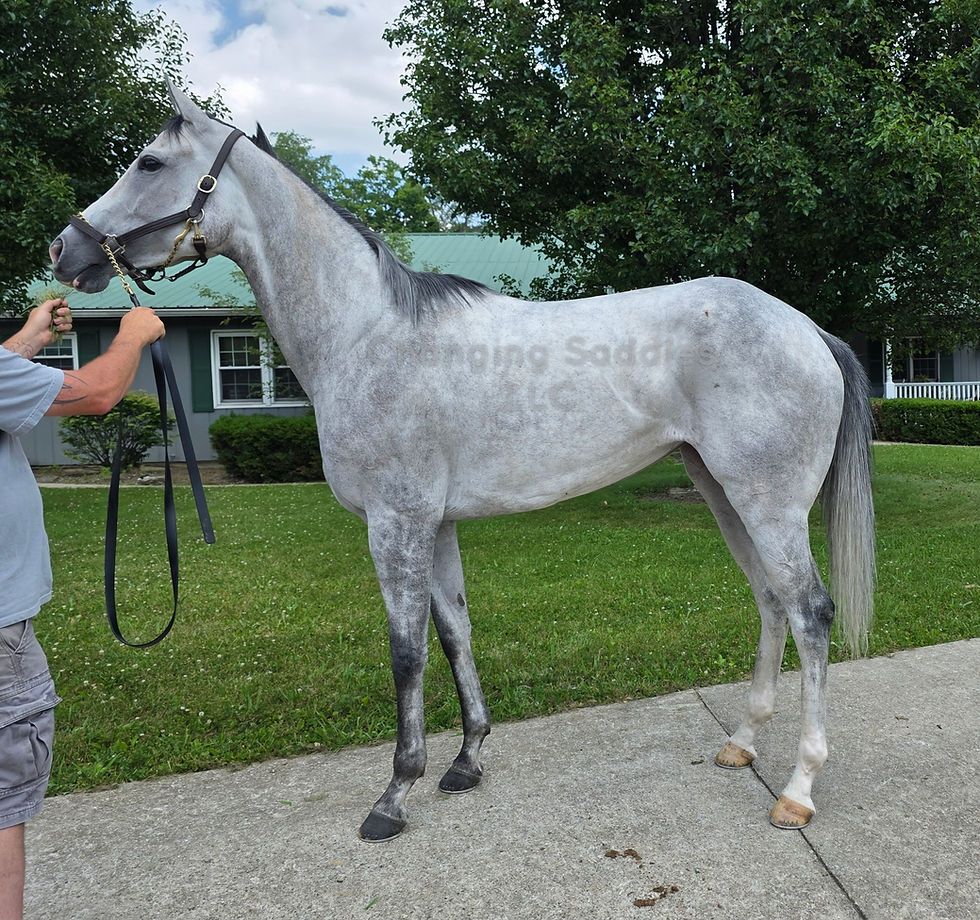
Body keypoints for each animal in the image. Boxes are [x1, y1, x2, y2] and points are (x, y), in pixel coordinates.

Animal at [50, 84, 875, 843]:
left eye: (149, 162)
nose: (66, 249)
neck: (365, 334)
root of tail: (808, 329)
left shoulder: (396, 523)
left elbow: (406, 651)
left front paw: (394, 794)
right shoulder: (435, 523)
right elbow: (454, 634)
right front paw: (467, 760)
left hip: (767, 502)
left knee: (809, 611)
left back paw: (797, 789)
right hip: (725, 492)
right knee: (770, 602)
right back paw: (742, 743)